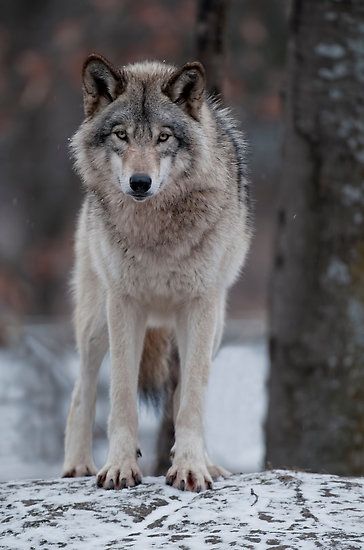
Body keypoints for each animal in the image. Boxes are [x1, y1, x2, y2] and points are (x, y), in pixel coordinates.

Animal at [61, 54, 250, 494]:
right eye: (121, 135)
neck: (156, 233)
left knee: (183, 395)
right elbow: (121, 397)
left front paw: (191, 468)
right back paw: (77, 465)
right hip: (96, 323)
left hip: (213, 326)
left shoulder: (199, 306)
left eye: (163, 137)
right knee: (82, 390)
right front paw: (119, 466)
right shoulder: (124, 305)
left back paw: (206, 462)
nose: (140, 182)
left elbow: (192, 399)